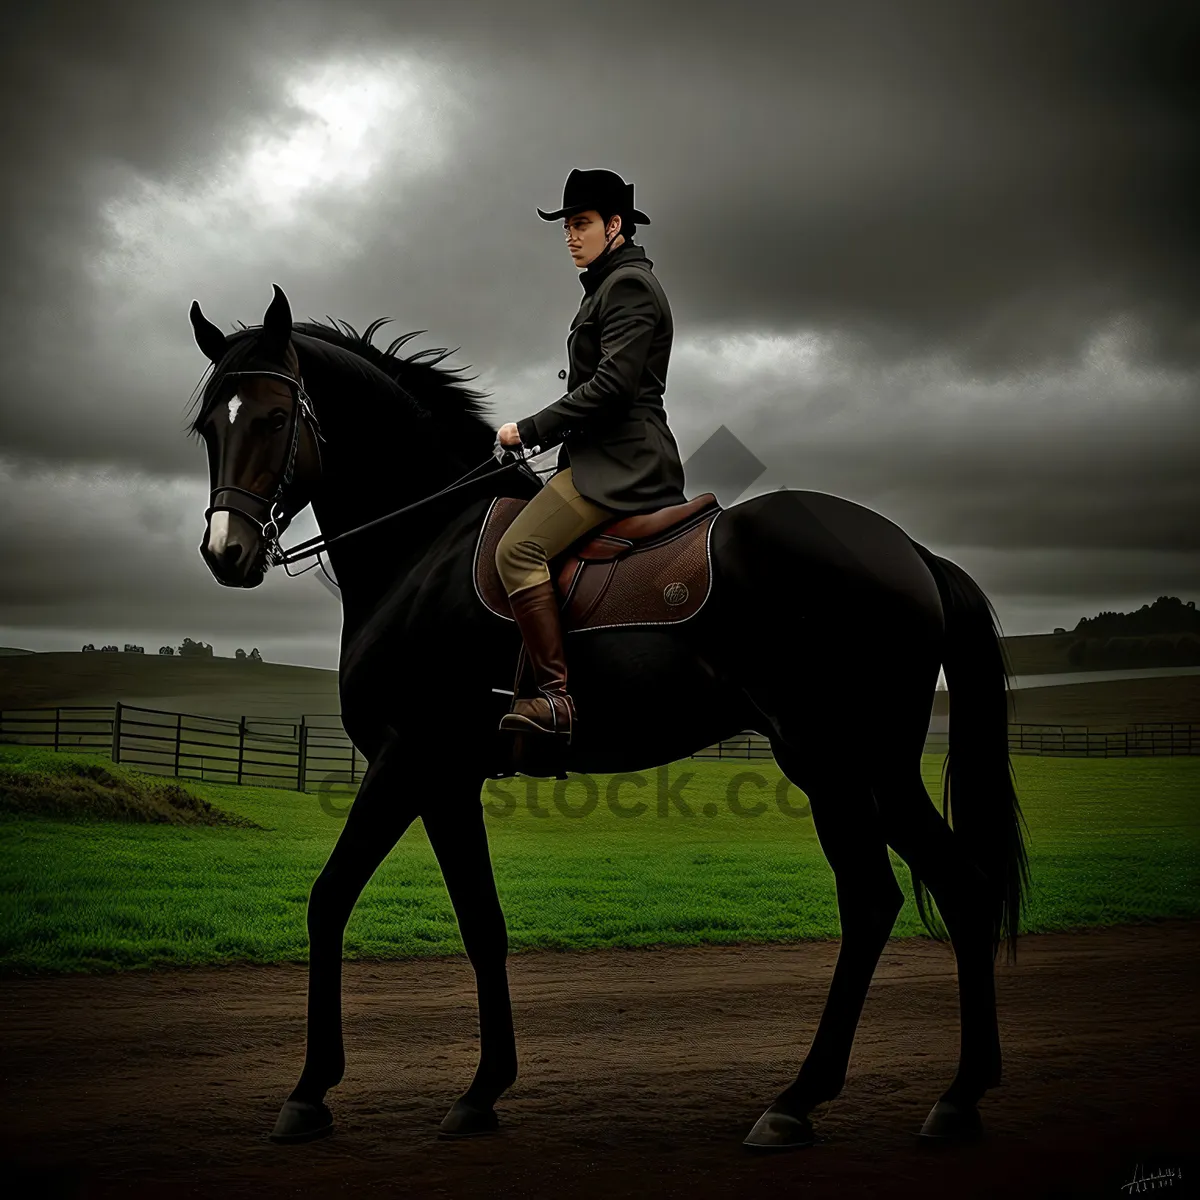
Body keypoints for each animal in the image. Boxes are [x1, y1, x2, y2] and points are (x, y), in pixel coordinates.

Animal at [187, 283, 1032, 1152]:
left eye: (274, 419)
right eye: (209, 426)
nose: (227, 554)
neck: (424, 549)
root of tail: (911, 551)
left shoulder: (406, 759)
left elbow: (329, 899)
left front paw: (310, 1091)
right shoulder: (448, 781)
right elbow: (482, 923)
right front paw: (482, 1091)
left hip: (833, 762)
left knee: (873, 901)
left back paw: (803, 1100)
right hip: (874, 770)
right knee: (959, 888)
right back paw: (956, 1096)